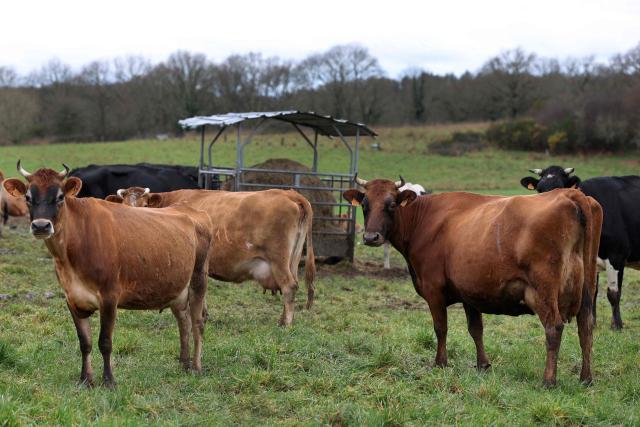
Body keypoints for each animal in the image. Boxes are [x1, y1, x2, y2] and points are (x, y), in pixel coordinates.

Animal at [105, 187, 316, 326]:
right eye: (124, 205)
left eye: (145, 205)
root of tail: (289, 193)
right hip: (293, 260)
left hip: (278, 260)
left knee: (289, 286)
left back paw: (286, 323)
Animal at [343, 176, 602, 387]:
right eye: (365, 205)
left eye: (391, 205)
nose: (371, 237)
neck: (424, 220)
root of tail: (571, 194)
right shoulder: (469, 292)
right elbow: (476, 329)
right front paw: (483, 365)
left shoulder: (433, 289)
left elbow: (441, 327)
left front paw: (440, 363)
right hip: (588, 287)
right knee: (586, 326)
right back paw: (586, 378)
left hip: (544, 290)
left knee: (553, 327)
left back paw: (549, 380)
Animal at [521, 165, 640, 329]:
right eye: (539, 190)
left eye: (561, 187)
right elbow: (592, 291)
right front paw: (592, 322)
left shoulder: (617, 256)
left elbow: (613, 293)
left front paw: (617, 325)